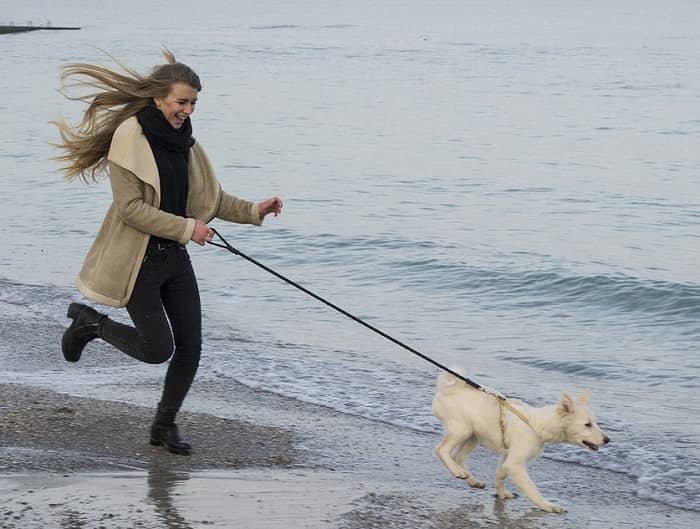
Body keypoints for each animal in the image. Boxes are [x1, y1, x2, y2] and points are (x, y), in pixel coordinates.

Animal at [432, 372, 608, 512]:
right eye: (587, 424)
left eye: (594, 423)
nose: (607, 440)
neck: (537, 425)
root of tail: (449, 389)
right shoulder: (515, 464)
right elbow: (532, 488)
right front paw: (547, 505)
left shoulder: (508, 458)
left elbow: (500, 475)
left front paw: (502, 494)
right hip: (462, 430)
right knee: (441, 449)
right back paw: (458, 472)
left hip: (473, 436)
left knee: (458, 457)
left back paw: (471, 480)